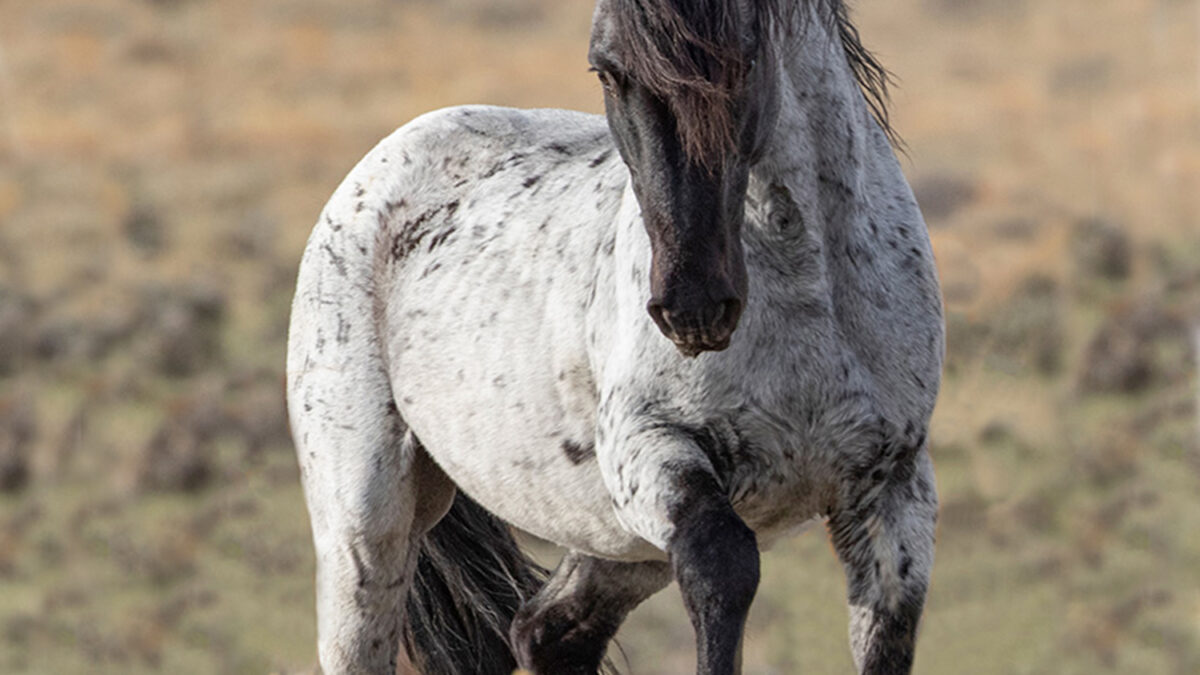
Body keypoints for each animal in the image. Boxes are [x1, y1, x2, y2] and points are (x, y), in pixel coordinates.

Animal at [288, 1, 945, 672]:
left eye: (746, 59)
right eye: (605, 70)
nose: (693, 305)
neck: (807, 293)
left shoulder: (894, 491)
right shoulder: (649, 449)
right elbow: (723, 566)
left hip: (620, 544)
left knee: (546, 630)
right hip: (367, 530)